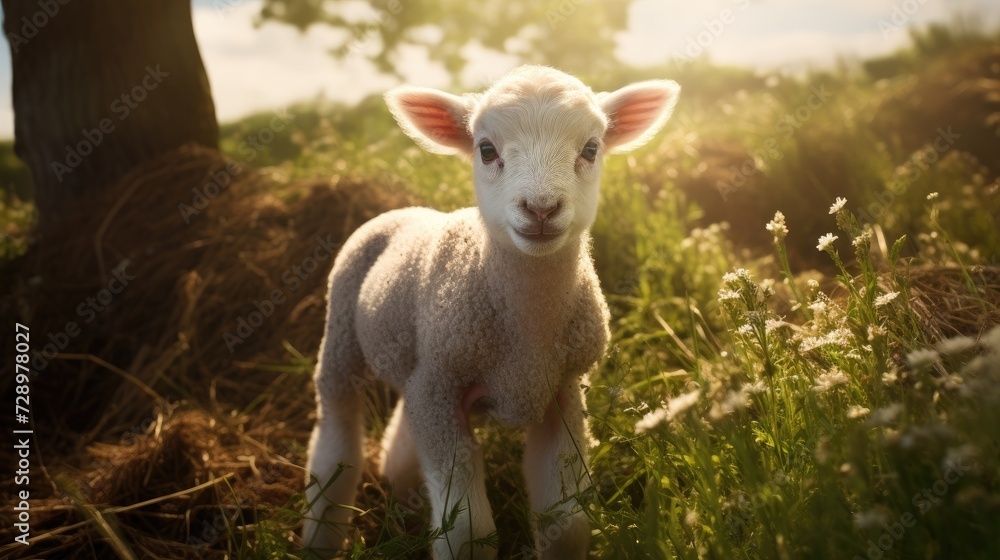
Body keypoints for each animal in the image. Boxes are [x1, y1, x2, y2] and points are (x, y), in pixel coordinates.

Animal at [302, 65, 680, 559]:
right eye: (486, 149)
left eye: (591, 148)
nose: (541, 208)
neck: (527, 333)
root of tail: (403, 210)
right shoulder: (443, 390)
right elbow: (467, 535)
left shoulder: (560, 390)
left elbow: (567, 523)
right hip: (344, 333)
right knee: (335, 434)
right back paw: (320, 533)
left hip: (418, 364)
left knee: (400, 432)